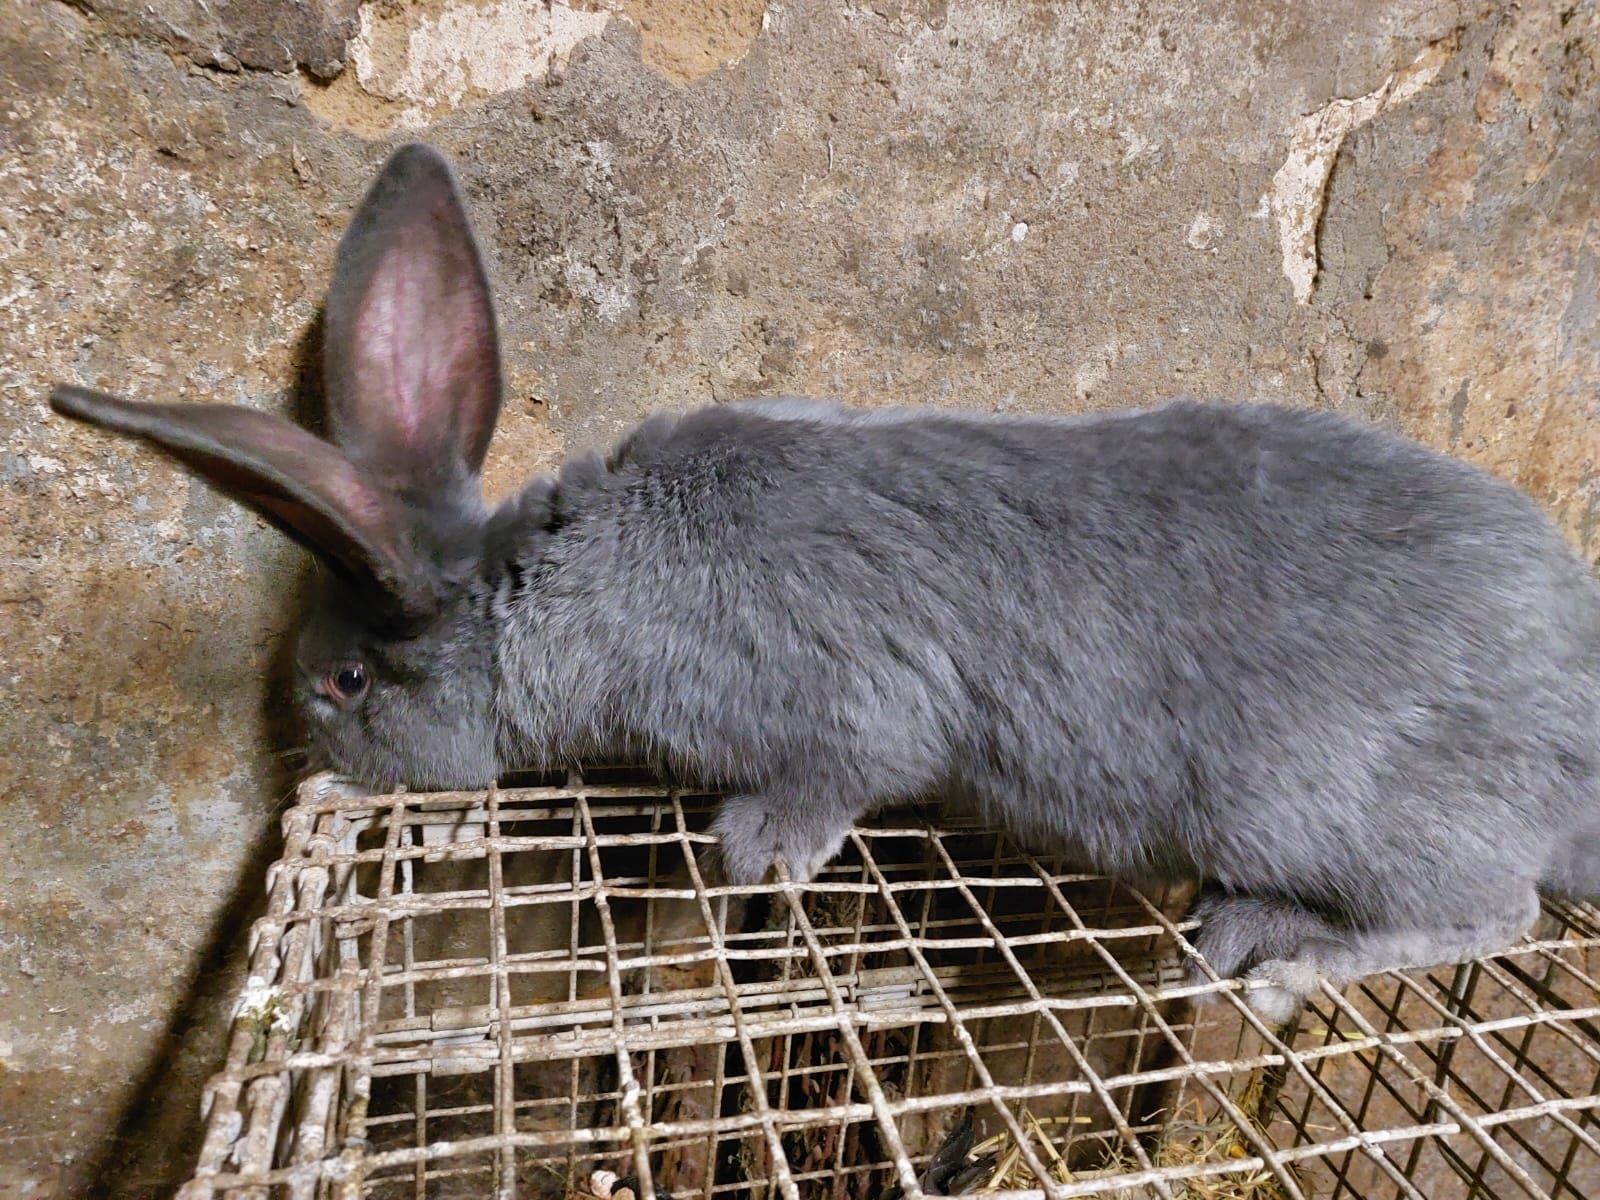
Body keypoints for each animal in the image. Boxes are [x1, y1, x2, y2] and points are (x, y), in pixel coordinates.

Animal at [50, 143, 1600, 1024]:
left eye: (345, 679)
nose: (304, 747)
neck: (550, 589)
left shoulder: (845, 715)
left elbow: (843, 777)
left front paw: (755, 854)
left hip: (1342, 810)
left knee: (1485, 914)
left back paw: (1280, 954)